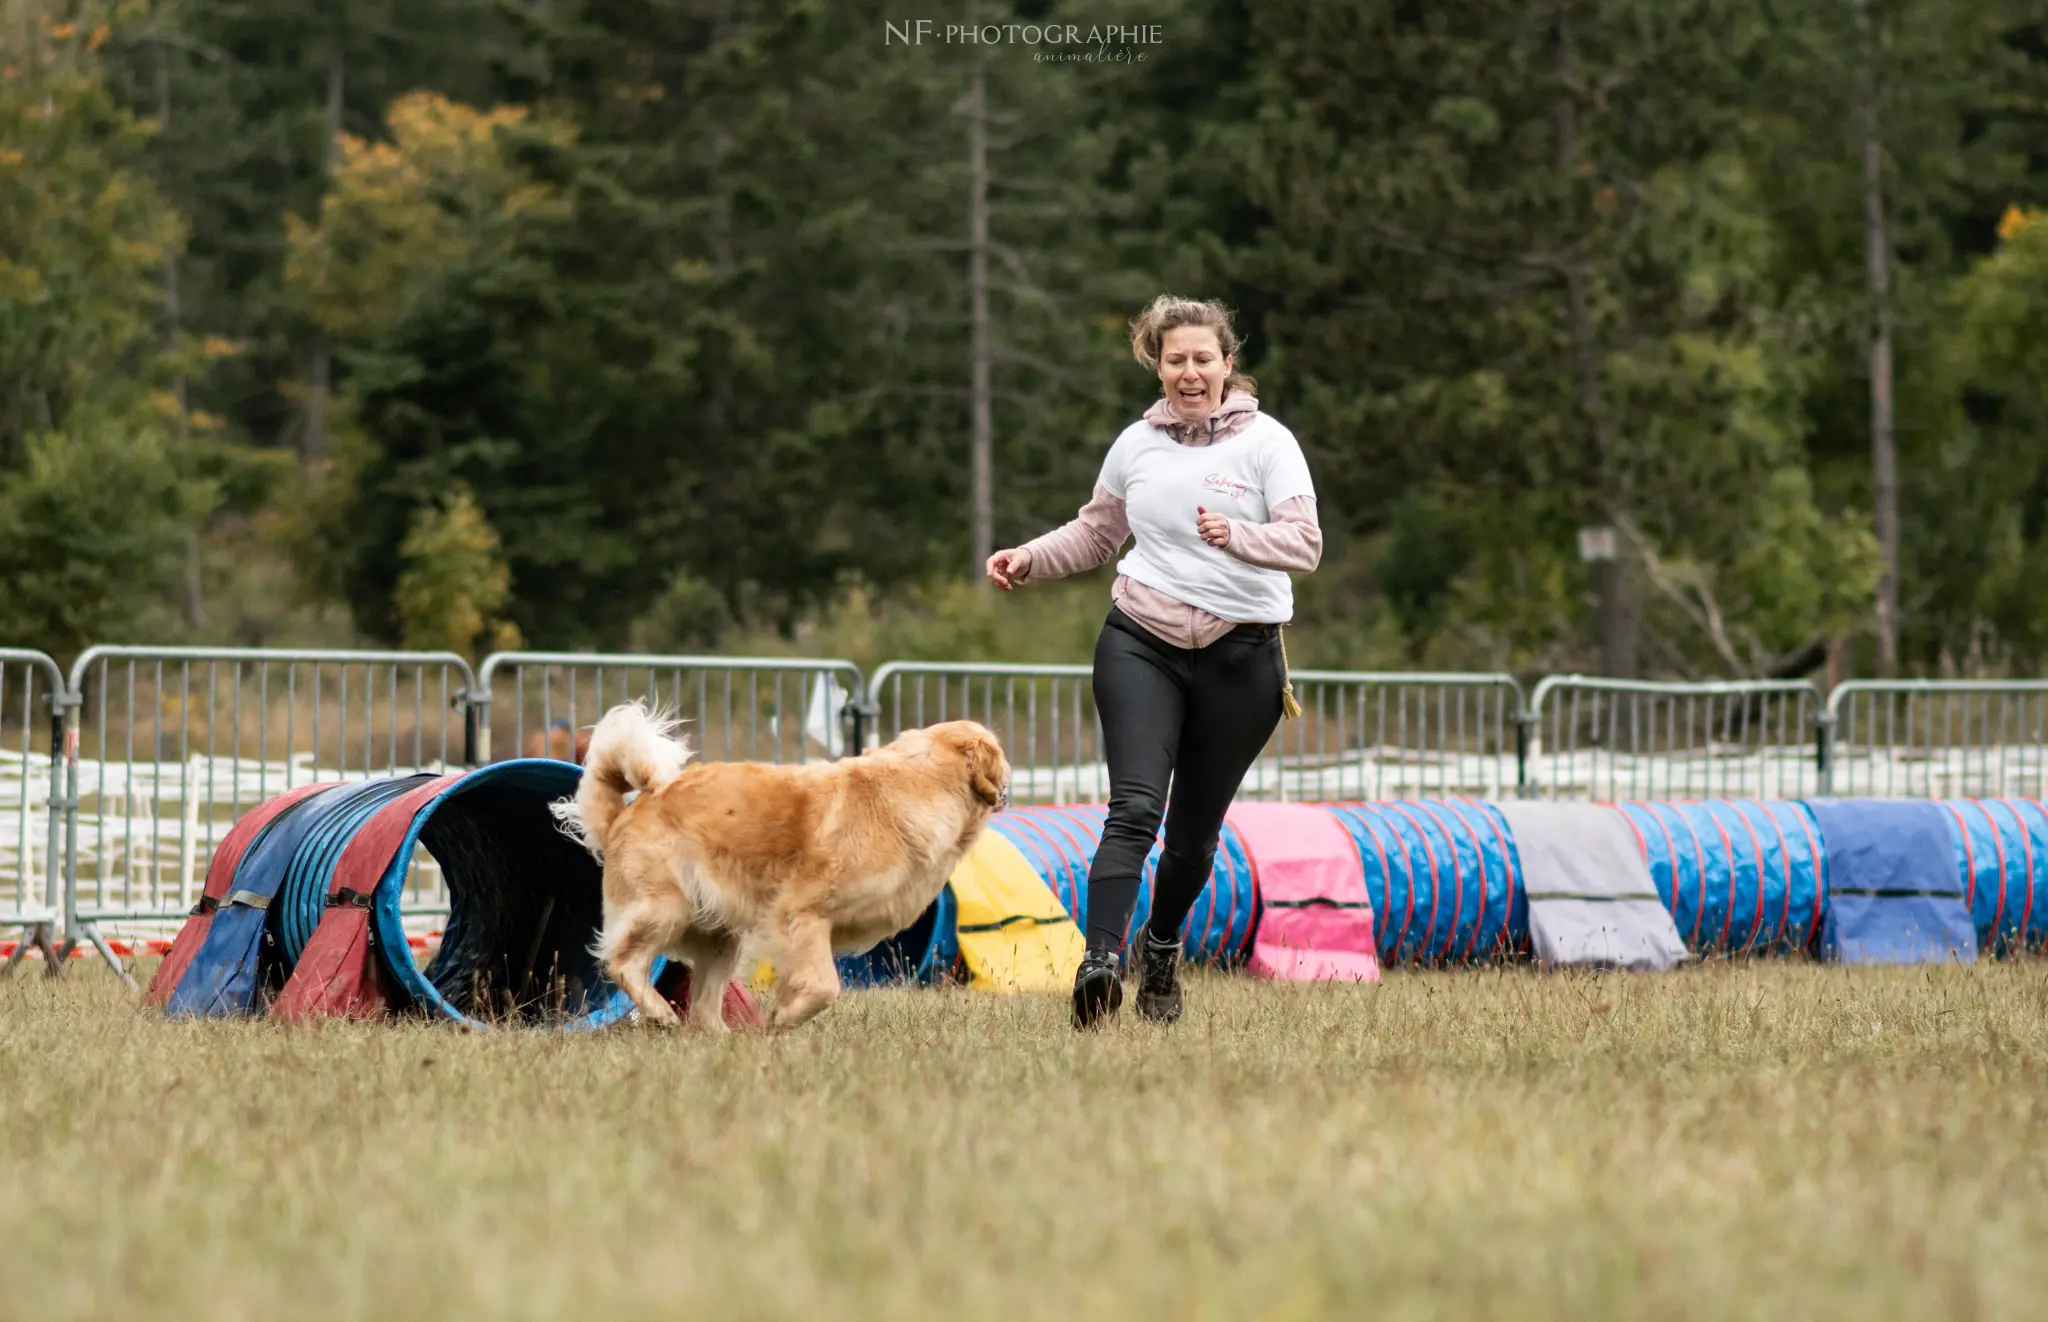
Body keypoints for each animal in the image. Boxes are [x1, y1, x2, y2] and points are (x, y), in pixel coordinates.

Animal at [552, 703, 1007, 1035]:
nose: (1006, 789)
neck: (918, 786)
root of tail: (626, 813)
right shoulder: (802, 914)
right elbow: (825, 986)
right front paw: (786, 1018)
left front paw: (782, 1012)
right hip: (663, 909)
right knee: (622, 962)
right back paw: (660, 1012)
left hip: (722, 939)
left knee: (702, 1008)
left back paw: (724, 1038)